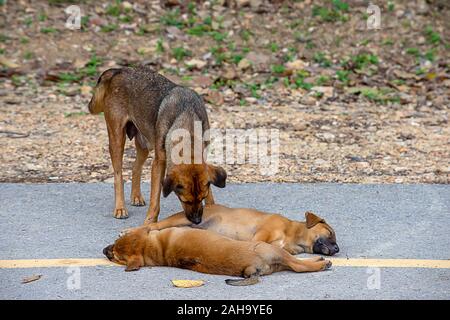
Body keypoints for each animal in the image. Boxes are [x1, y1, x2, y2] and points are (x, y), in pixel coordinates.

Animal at [88, 66, 227, 224]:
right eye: (185, 201)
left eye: (202, 198)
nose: (197, 221)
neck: (187, 120)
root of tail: (119, 70)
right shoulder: (159, 163)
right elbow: (155, 198)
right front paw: (150, 221)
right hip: (117, 138)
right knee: (118, 176)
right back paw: (120, 208)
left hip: (144, 144)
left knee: (136, 167)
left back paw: (136, 196)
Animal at [103, 225, 332, 284]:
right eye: (116, 256)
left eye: (114, 250)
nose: (104, 251)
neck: (154, 246)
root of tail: (250, 269)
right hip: (271, 250)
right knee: (297, 265)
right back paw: (320, 262)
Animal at [141, 205, 338, 255]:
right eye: (330, 233)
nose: (337, 249)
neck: (292, 234)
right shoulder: (260, 236)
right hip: (181, 218)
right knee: (153, 226)